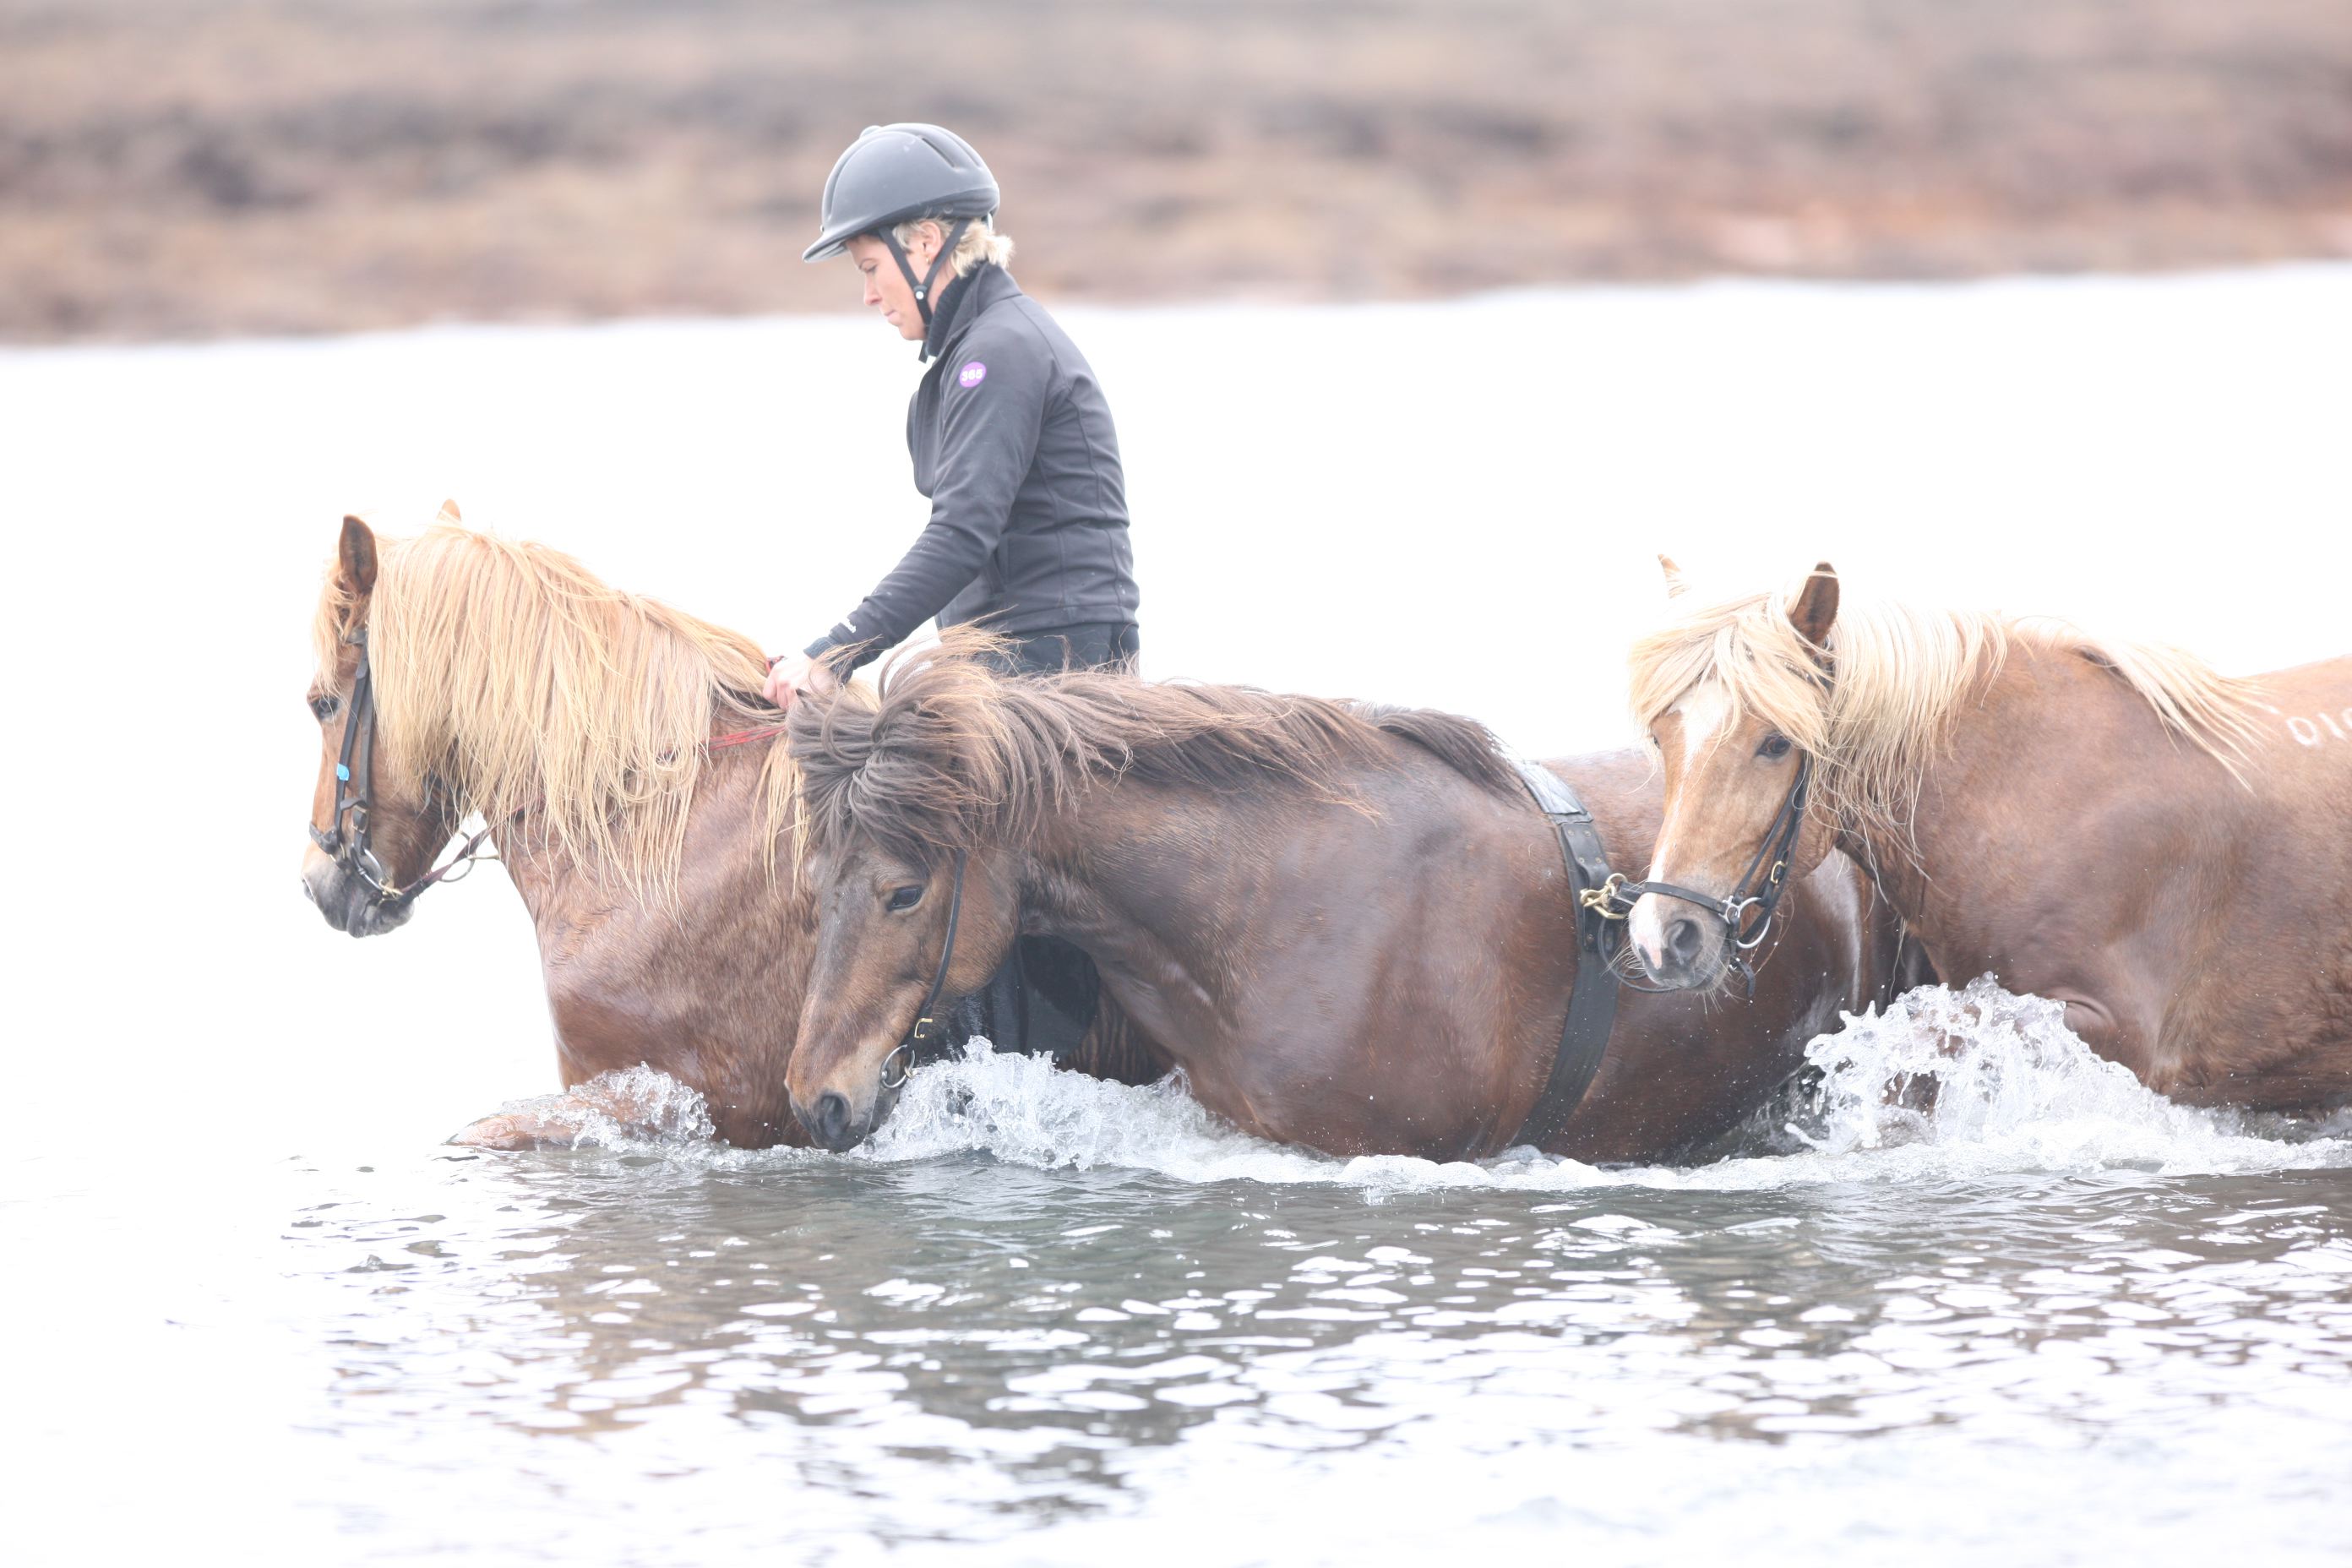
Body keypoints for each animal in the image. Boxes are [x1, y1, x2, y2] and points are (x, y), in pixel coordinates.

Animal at [1621, 558, 2352, 1111]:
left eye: (1775, 743)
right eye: (1661, 737)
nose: (1664, 937)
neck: (2033, 792)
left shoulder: (2120, 1037)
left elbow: (1913, 1047)